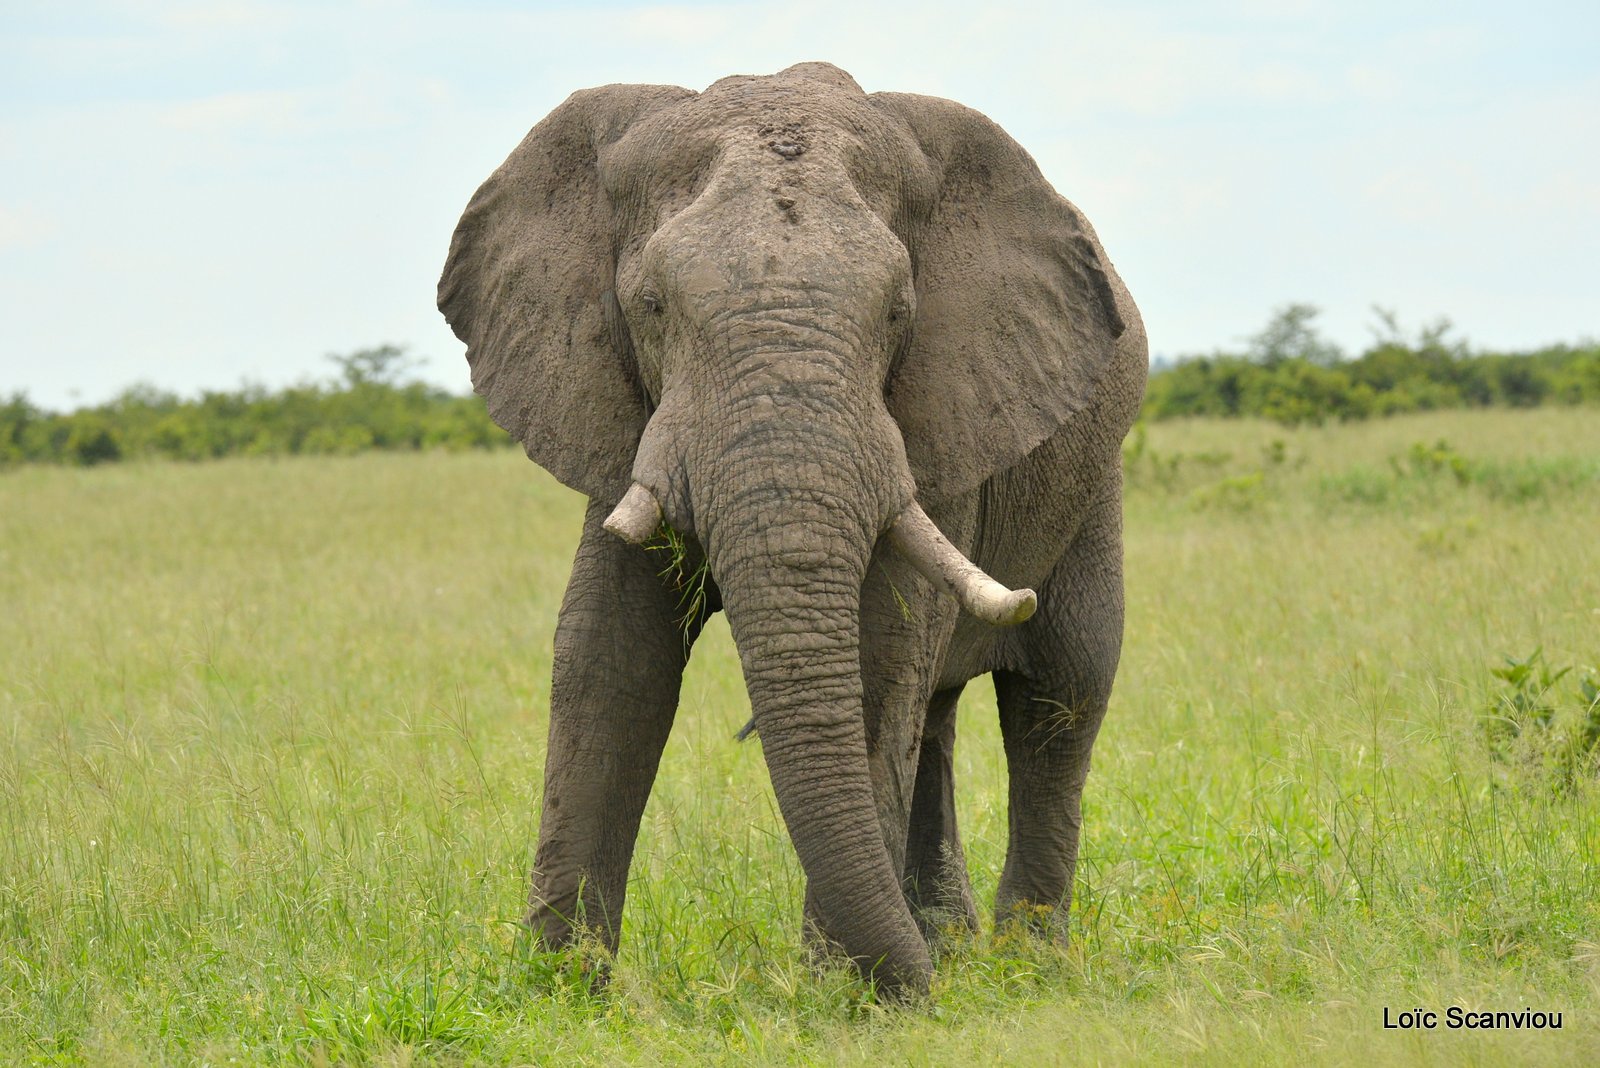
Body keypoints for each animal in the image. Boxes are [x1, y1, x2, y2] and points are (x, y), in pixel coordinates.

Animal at [432, 60, 1145, 991]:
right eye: (652, 307)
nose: (914, 987)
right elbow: (608, 655)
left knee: (1063, 690)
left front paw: (845, 993)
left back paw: (1024, 964)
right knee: (939, 716)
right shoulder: (625, 413)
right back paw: (948, 945)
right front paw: (564, 988)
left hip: (1095, 478)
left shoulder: (940, 417)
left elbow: (880, 653)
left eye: (898, 312)